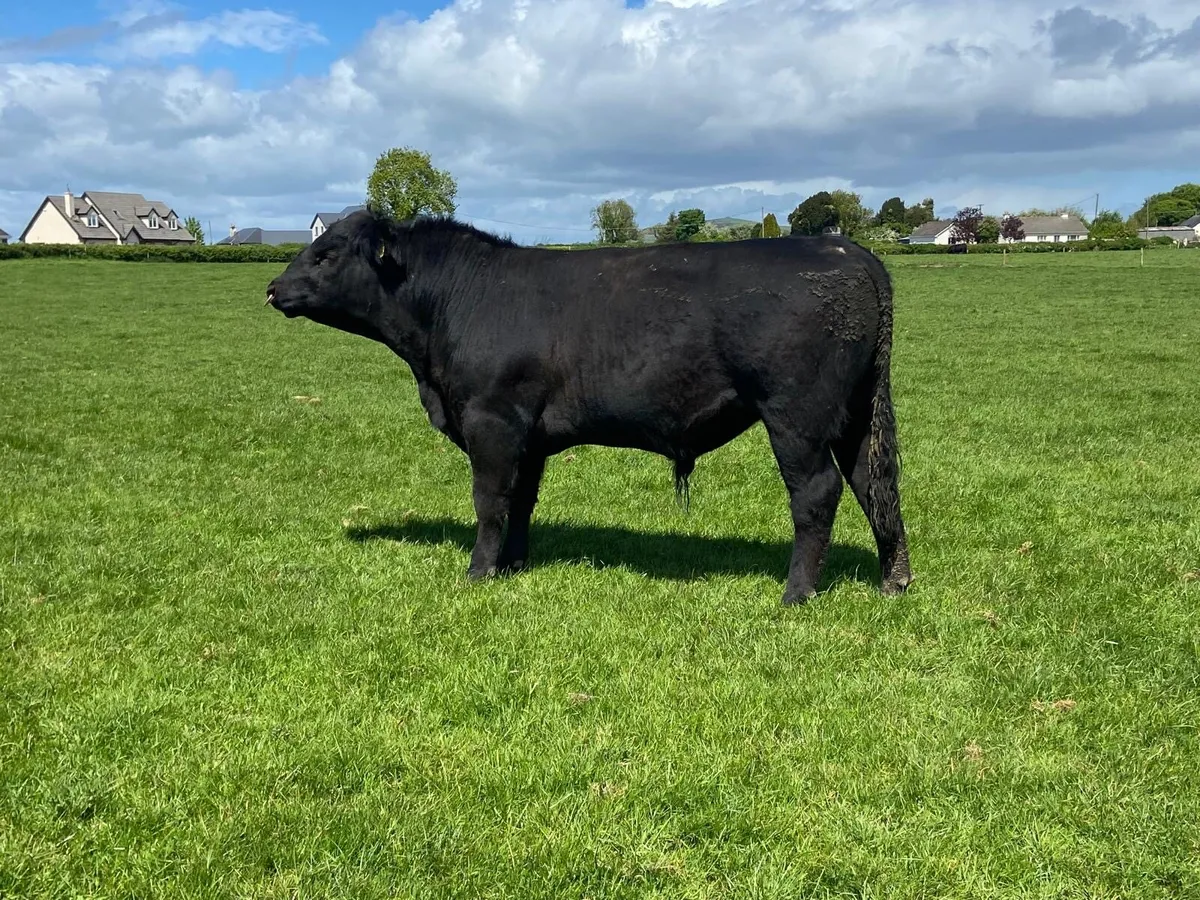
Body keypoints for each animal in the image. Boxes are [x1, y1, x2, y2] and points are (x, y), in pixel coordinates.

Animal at [264, 209, 913, 605]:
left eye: (327, 254)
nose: (272, 289)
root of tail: (846, 248)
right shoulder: (527, 432)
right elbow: (521, 502)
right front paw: (513, 566)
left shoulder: (491, 420)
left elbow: (490, 501)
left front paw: (477, 573)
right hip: (854, 415)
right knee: (874, 482)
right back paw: (894, 581)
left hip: (796, 416)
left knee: (818, 492)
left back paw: (796, 593)